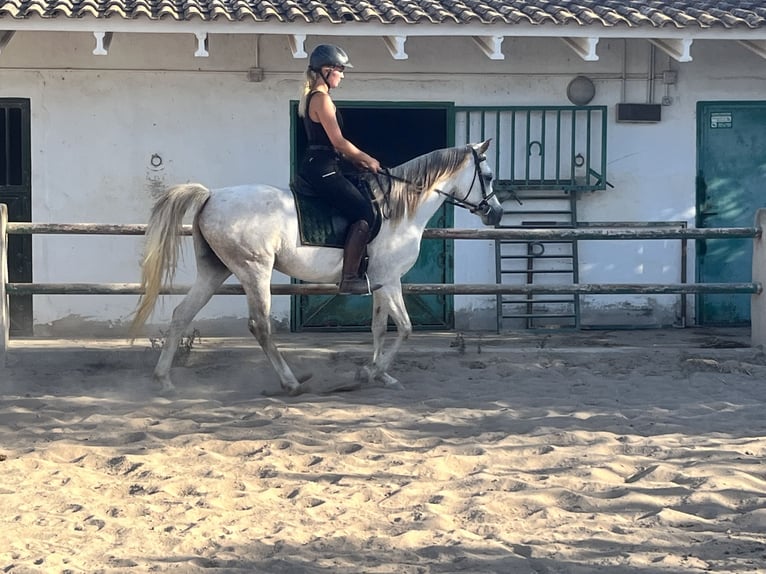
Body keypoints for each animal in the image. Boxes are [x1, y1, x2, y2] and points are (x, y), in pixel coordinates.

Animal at [132, 142, 504, 398]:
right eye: (487, 177)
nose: (496, 213)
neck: (398, 209)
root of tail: (212, 196)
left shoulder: (381, 282)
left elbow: (380, 329)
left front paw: (379, 374)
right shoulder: (390, 280)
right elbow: (406, 328)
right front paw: (370, 373)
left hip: (215, 271)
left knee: (181, 315)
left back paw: (164, 381)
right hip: (254, 271)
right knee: (260, 326)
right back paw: (292, 383)